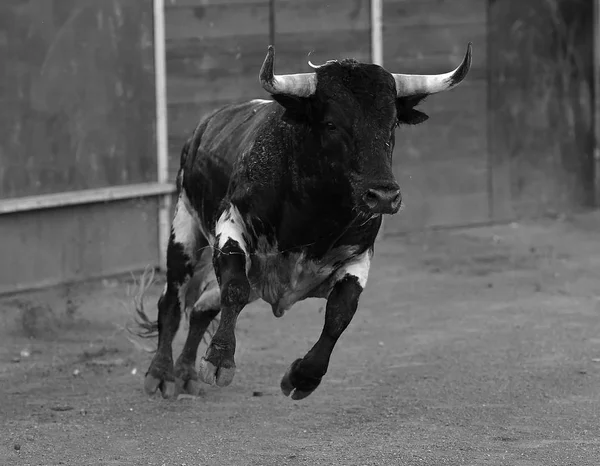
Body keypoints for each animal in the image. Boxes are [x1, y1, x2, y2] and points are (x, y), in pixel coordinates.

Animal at [138, 44, 472, 400]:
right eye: (331, 123)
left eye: (393, 123)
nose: (383, 196)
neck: (314, 213)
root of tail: (204, 126)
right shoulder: (231, 223)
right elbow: (235, 289)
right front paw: (219, 361)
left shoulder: (358, 254)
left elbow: (340, 312)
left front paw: (303, 376)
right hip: (185, 227)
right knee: (172, 302)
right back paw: (161, 373)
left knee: (201, 308)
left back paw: (186, 372)